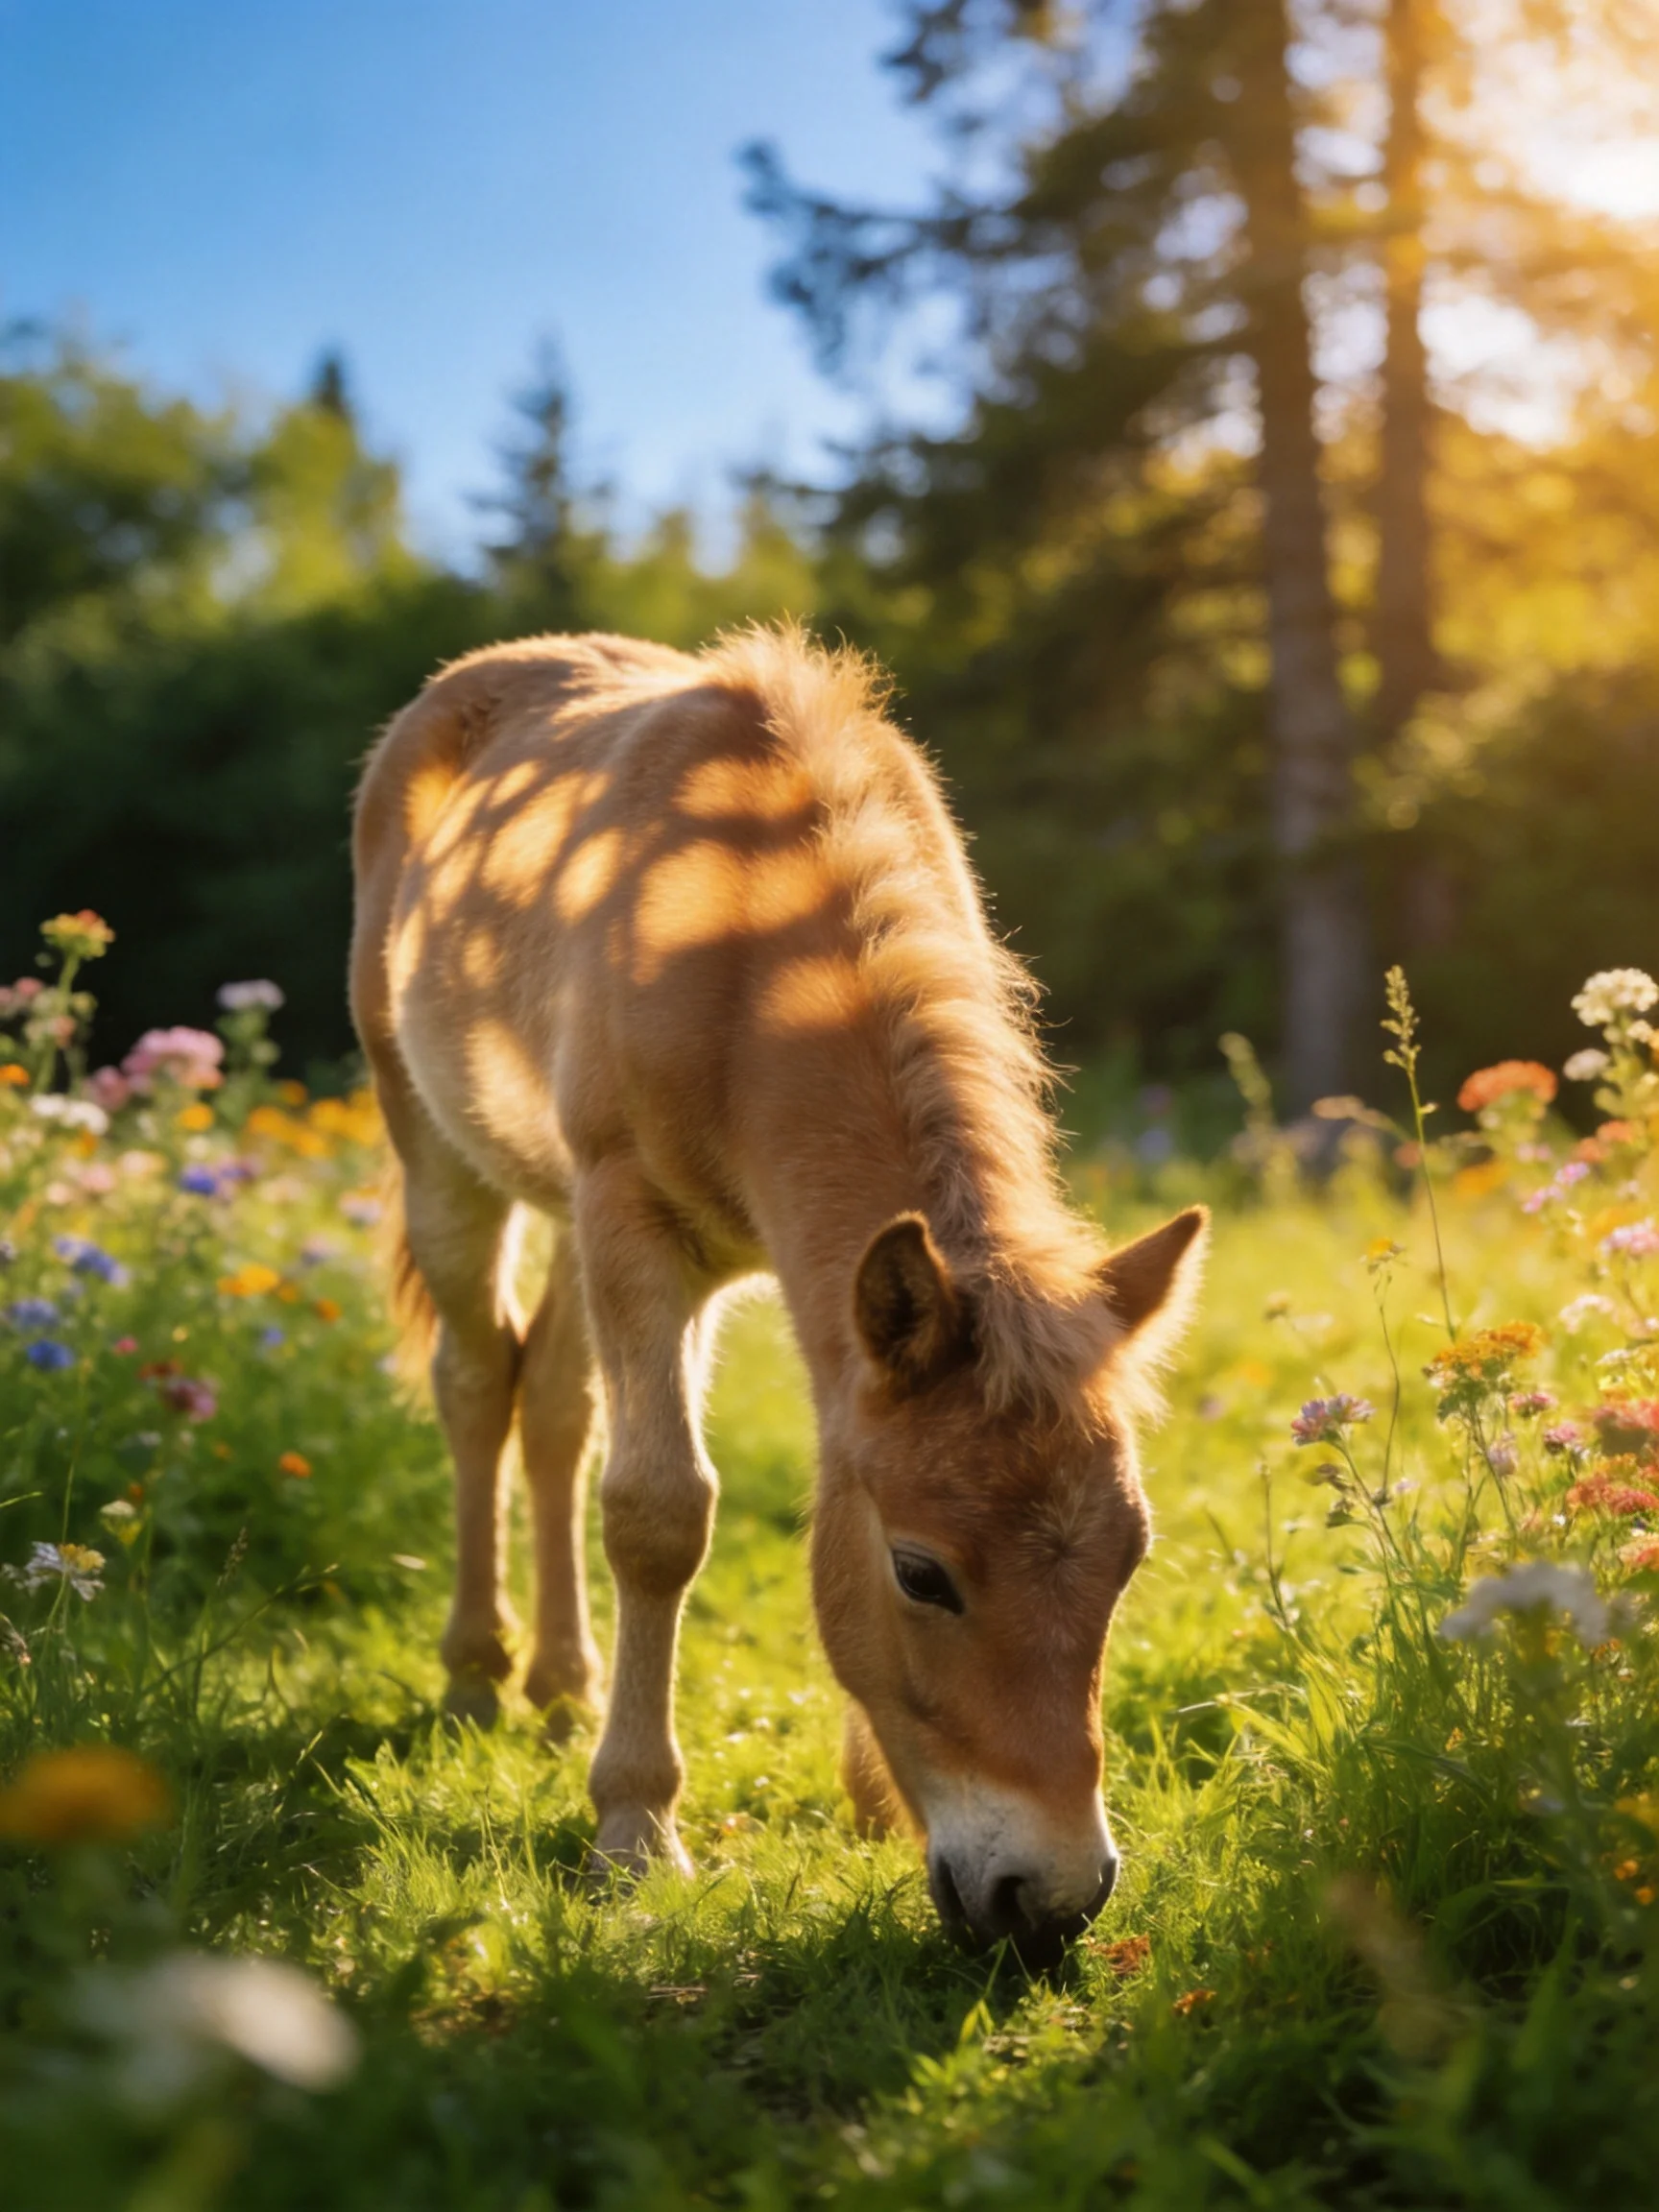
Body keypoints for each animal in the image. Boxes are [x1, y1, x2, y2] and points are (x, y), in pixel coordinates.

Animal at [350, 626, 1205, 1964]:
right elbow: (659, 1512)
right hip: (445, 1151)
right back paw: (481, 1672)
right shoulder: (636, 1219)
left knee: (553, 1406)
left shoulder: (818, 1296)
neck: (743, 945)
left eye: (1130, 1559)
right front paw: (635, 1830)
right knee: (479, 1383)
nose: (1053, 1902)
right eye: (923, 1573)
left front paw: (871, 1803)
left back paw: (560, 1686)